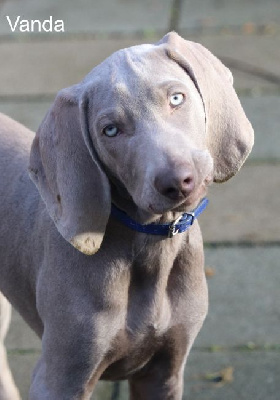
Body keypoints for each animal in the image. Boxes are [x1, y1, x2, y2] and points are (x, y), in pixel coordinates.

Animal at [0, 32, 254, 398]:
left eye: (176, 98)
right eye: (110, 130)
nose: (177, 181)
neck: (151, 245)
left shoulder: (165, 371)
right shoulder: (61, 377)